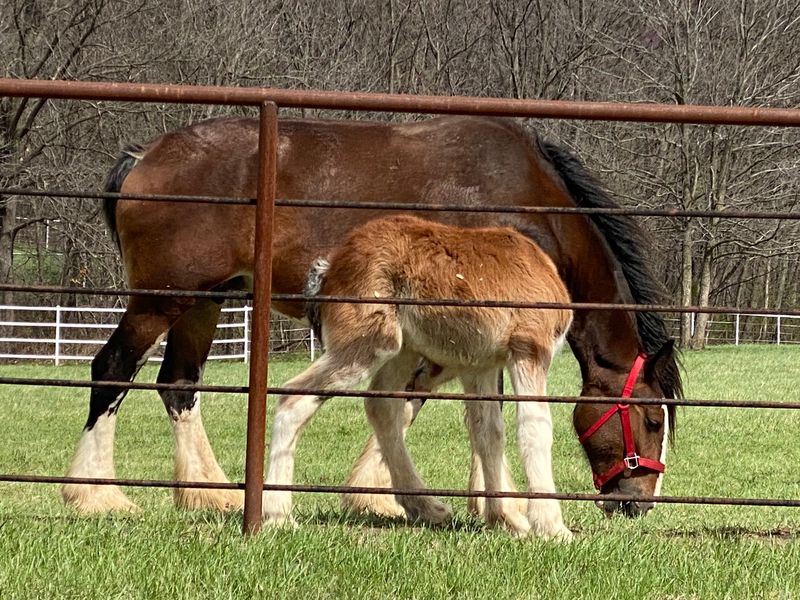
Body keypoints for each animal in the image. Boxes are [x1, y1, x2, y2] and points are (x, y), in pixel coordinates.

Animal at [264, 215, 573, 539]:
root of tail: (331, 266)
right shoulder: (529, 349)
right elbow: (535, 428)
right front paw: (552, 526)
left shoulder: (480, 366)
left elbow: (488, 434)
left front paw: (507, 518)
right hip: (368, 343)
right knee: (294, 397)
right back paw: (278, 516)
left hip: (404, 351)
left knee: (382, 406)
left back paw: (427, 507)